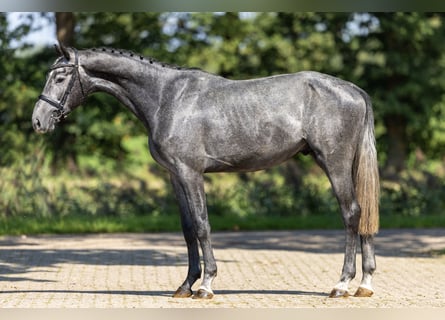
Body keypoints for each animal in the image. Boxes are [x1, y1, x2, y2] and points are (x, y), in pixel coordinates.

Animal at [32, 45, 378, 300]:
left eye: (60, 77)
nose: (38, 120)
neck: (166, 98)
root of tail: (354, 90)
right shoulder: (175, 175)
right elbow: (187, 229)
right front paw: (186, 285)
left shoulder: (191, 173)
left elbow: (202, 225)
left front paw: (207, 285)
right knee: (362, 213)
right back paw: (365, 284)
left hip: (333, 163)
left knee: (351, 213)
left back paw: (342, 284)